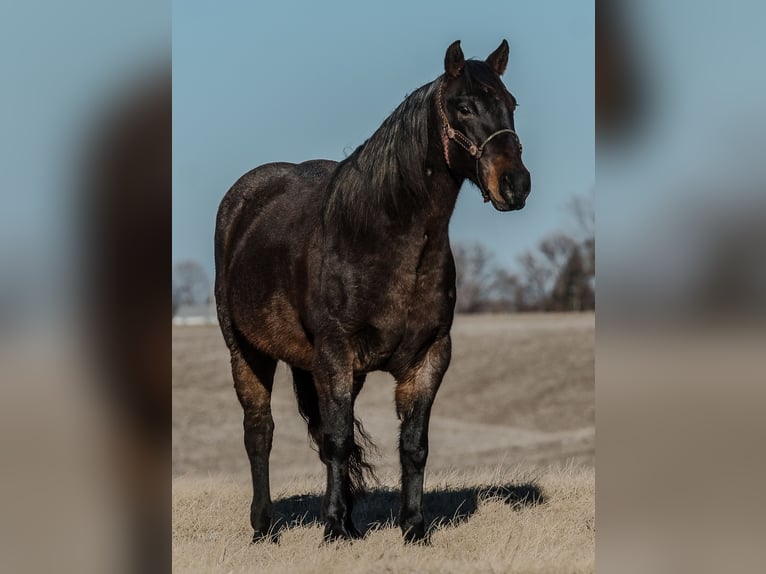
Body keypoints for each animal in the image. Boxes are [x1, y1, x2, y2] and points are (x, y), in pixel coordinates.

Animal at [213, 40, 532, 544]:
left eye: (511, 104)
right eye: (463, 106)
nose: (515, 185)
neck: (380, 237)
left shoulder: (429, 356)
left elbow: (413, 445)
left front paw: (413, 527)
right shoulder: (334, 355)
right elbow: (339, 441)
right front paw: (335, 532)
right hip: (246, 352)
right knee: (260, 432)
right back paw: (264, 528)